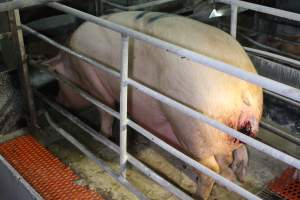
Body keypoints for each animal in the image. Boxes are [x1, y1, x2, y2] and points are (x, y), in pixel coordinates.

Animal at [45, 11, 264, 199]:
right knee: (237, 155)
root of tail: (243, 90)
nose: (55, 98)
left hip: (190, 126)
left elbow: (105, 110)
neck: (73, 64)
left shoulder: (92, 79)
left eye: (57, 78)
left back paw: (197, 195)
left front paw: (103, 135)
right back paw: (238, 176)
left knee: (210, 170)